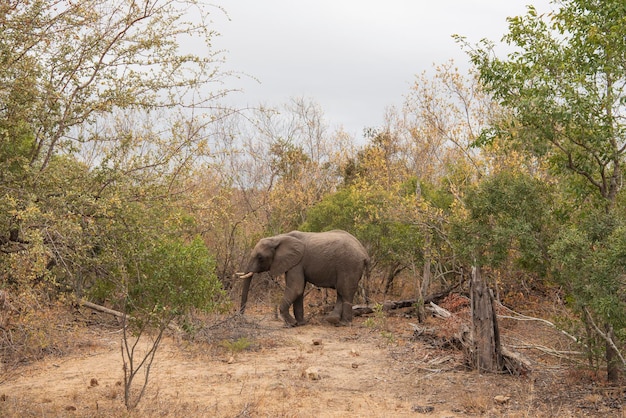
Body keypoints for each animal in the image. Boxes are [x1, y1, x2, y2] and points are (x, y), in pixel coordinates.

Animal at [236, 229, 368, 326]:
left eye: (260, 257)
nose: (242, 318)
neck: (278, 238)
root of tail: (364, 252)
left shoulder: (297, 263)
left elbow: (296, 288)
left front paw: (291, 324)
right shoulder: (295, 263)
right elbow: (299, 291)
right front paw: (300, 323)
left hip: (349, 265)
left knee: (344, 291)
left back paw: (344, 323)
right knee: (341, 292)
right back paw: (332, 320)